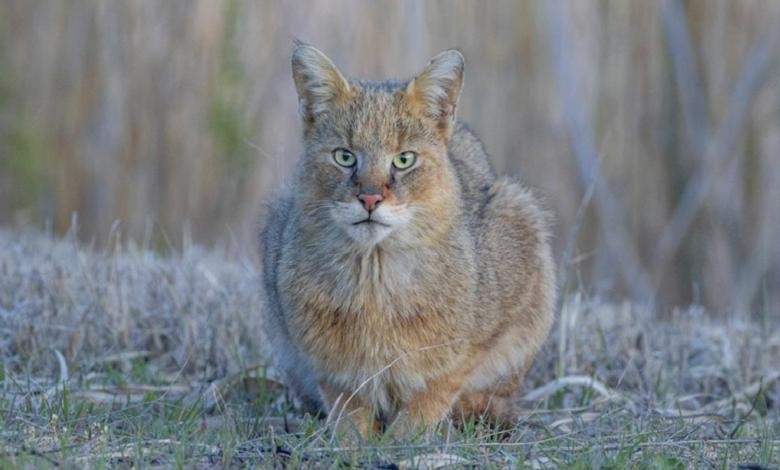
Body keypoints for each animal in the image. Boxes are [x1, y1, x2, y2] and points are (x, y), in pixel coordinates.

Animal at [260, 42, 556, 436]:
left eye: (403, 159)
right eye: (344, 156)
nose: (370, 198)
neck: (374, 280)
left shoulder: (489, 329)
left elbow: (438, 387)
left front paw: (408, 436)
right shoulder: (322, 359)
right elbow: (346, 402)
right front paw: (353, 438)